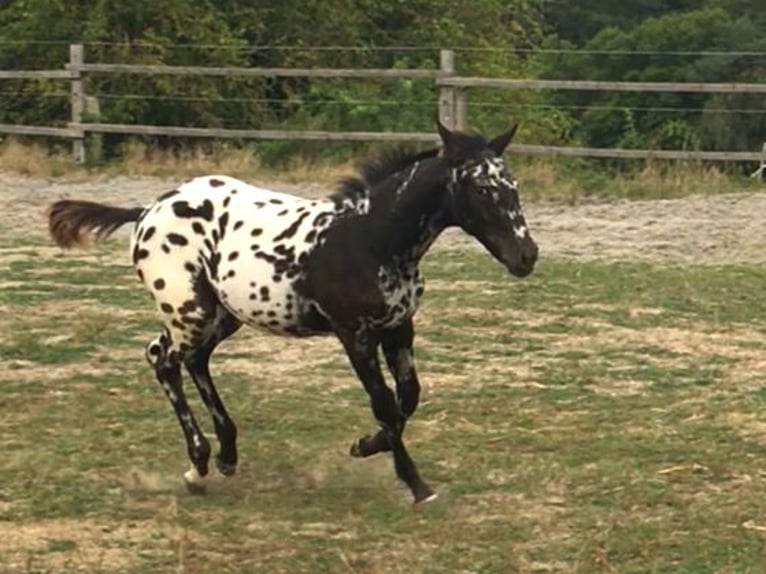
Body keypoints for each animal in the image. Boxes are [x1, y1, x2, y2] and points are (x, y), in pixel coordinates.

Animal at [48, 120, 540, 504]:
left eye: (514, 187)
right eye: (482, 189)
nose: (527, 255)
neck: (370, 238)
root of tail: (147, 210)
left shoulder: (400, 326)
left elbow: (407, 398)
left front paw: (365, 445)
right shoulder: (354, 334)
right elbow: (383, 402)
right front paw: (416, 484)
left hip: (224, 315)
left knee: (192, 360)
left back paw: (225, 456)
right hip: (190, 311)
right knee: (163, 359)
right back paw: (198, 466)